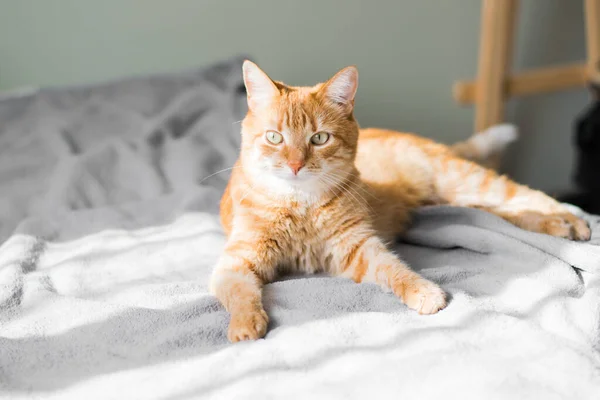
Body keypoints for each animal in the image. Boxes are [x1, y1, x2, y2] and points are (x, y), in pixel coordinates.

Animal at [210, 61, 592, 342]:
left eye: (319, 139)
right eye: (275, 138)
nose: (295, 165)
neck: (300, 205)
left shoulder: (357, 245)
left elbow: (396, 270)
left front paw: (425, 292)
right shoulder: (237, 262)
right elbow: (240, 293)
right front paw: (245, 325)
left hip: (465, 181)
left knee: (524, 195)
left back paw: (572, 219)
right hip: (463, 203)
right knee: (508, 214)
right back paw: (561, 225)